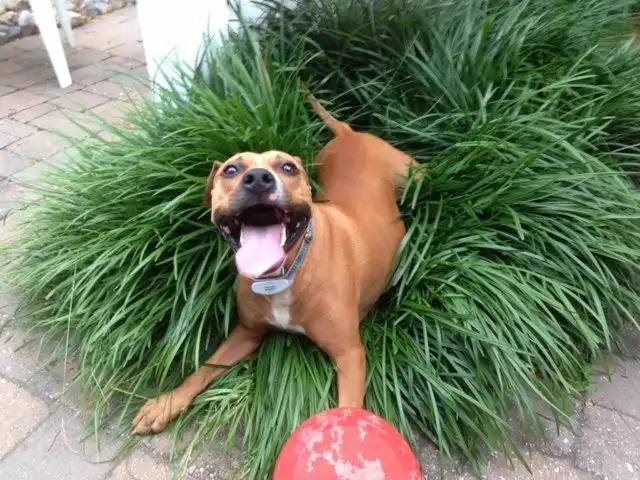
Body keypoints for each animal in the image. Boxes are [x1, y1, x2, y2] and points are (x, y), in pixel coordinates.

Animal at [132, 91, 419, 435]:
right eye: (231, 170)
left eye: (287, 167)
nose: (258, 179)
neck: (284, 274)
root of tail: (349, 133)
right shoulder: (246, 332)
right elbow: (203, 369)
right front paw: (167, 403)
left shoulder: (350, 354)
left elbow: (349, 408)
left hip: (413, 173)